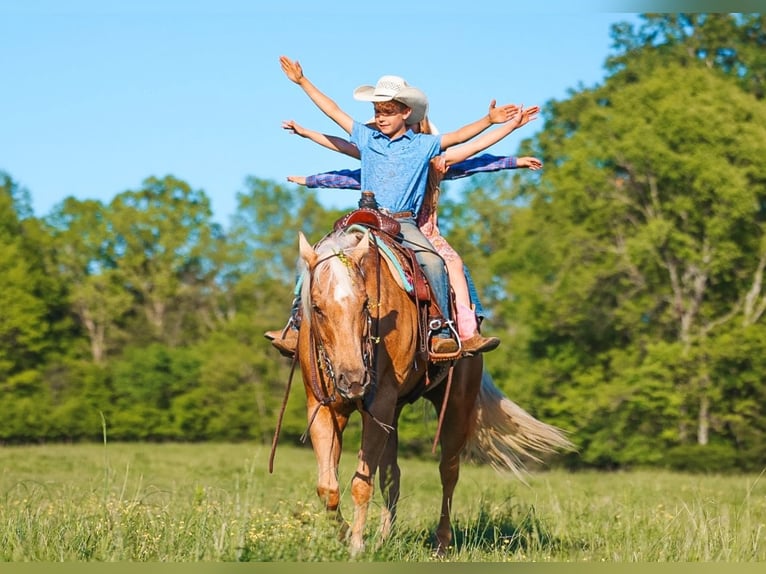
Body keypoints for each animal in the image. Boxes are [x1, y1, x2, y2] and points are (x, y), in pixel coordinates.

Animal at [279, 222, 573, 556]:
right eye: (316, 308)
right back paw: (385, 538)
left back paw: (441, 543)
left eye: (366, 303)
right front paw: (344, 537)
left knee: (449, 472)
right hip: (392, 414)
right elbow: (328, 487)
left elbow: (361, 483)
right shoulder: (325, 408)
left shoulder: (378, 405)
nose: (353, 380)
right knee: (392, 475)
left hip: (456, 407)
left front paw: (356, 545)